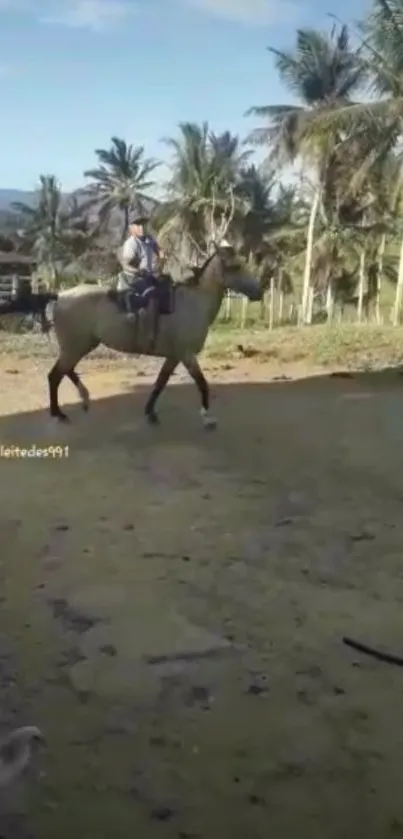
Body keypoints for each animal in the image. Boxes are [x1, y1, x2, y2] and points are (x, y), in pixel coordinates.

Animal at [0, 243, 262, 426]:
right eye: (235, 266)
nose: (259, 291)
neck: (193, 303)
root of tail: (61, 295)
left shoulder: (174, 356)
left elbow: (160, 383)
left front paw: (150, 412)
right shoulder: (186, 354)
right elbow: (202, 383)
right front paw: (207, 417)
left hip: (81, 344)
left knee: (66, 371)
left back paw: (84, 398)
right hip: (76, 345)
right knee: (55, 375)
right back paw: (59, 413)